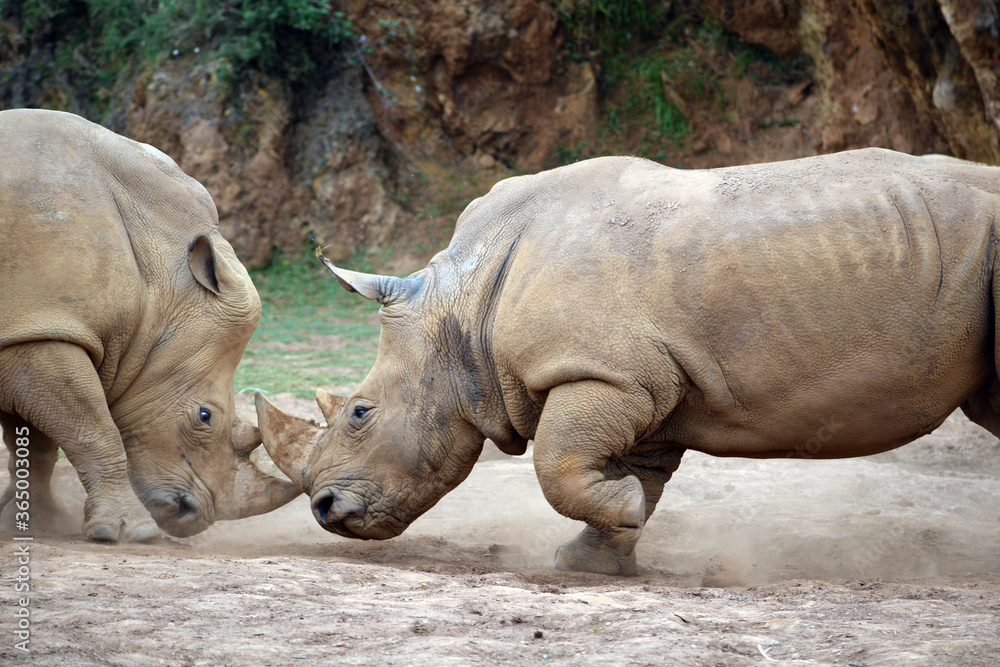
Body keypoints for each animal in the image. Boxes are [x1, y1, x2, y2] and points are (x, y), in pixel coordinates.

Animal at [0, 109, 299, 542]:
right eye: (204, 417)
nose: (192, 517)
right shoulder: (44, 327)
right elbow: (92, 430)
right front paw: (129, 532)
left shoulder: (35, 327)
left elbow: (34, 445)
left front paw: (32, 522)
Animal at [256, 148, 1000, 575]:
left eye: (359, 412)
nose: (324, 510)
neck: (460, 313)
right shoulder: (652, 383)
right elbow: (633, 470)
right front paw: (598, 549)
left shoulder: (603, 370)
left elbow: (556, 463)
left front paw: (613, 517)